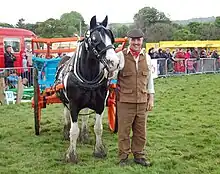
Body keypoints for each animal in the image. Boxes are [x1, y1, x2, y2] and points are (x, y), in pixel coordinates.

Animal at [54, 14, 119, 163]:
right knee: (66, 115)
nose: (114, 62)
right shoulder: (73, 105)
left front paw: (99, 150)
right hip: (65, 102)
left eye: (111, 37)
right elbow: (73, 131)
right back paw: (66, 131)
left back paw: (84, 135)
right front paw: (71, 155)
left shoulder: (100, 104)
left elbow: (98, 128)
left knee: (85, 116)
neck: (88, 76)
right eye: (94, 39)